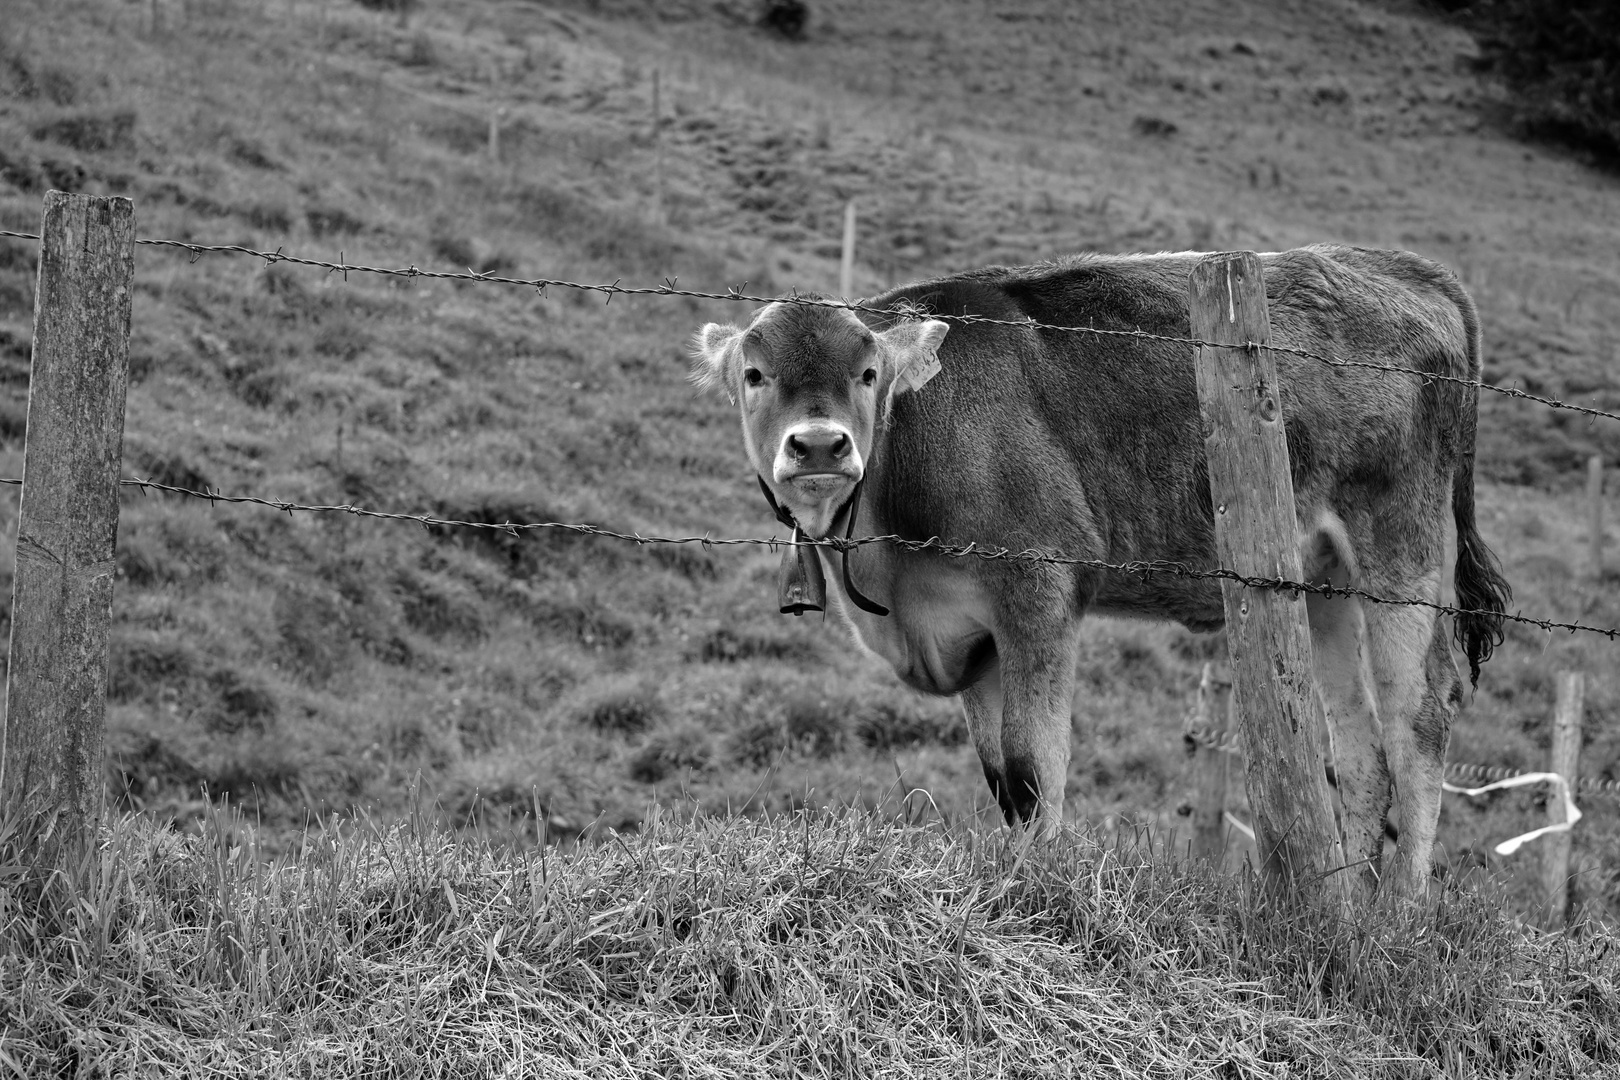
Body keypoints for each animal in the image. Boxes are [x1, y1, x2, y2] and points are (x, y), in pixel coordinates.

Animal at [690, 247, 1509, 906]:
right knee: (1362, 749)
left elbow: (1034, 769)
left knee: (1418, 720)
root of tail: (1399, 267)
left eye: (867, 374)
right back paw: (1348, 901)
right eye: (755, 375)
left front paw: (1041, 893)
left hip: (1398, 550)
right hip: (1324, 583)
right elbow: (1004, 782)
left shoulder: (1039, 588)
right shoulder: (975, 635)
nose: (819, 445)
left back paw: (1400, 912)